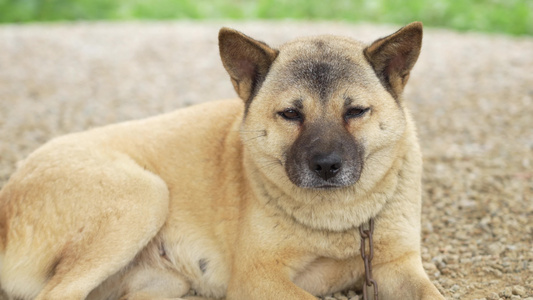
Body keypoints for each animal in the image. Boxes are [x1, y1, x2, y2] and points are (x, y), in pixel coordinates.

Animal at [0, 22, 444, 298]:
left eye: (355, 111)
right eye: (290, 114)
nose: (326, 166)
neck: (341, 218)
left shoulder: (399, 267)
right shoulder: (258, 278)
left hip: (162, 282)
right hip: (146, 195)